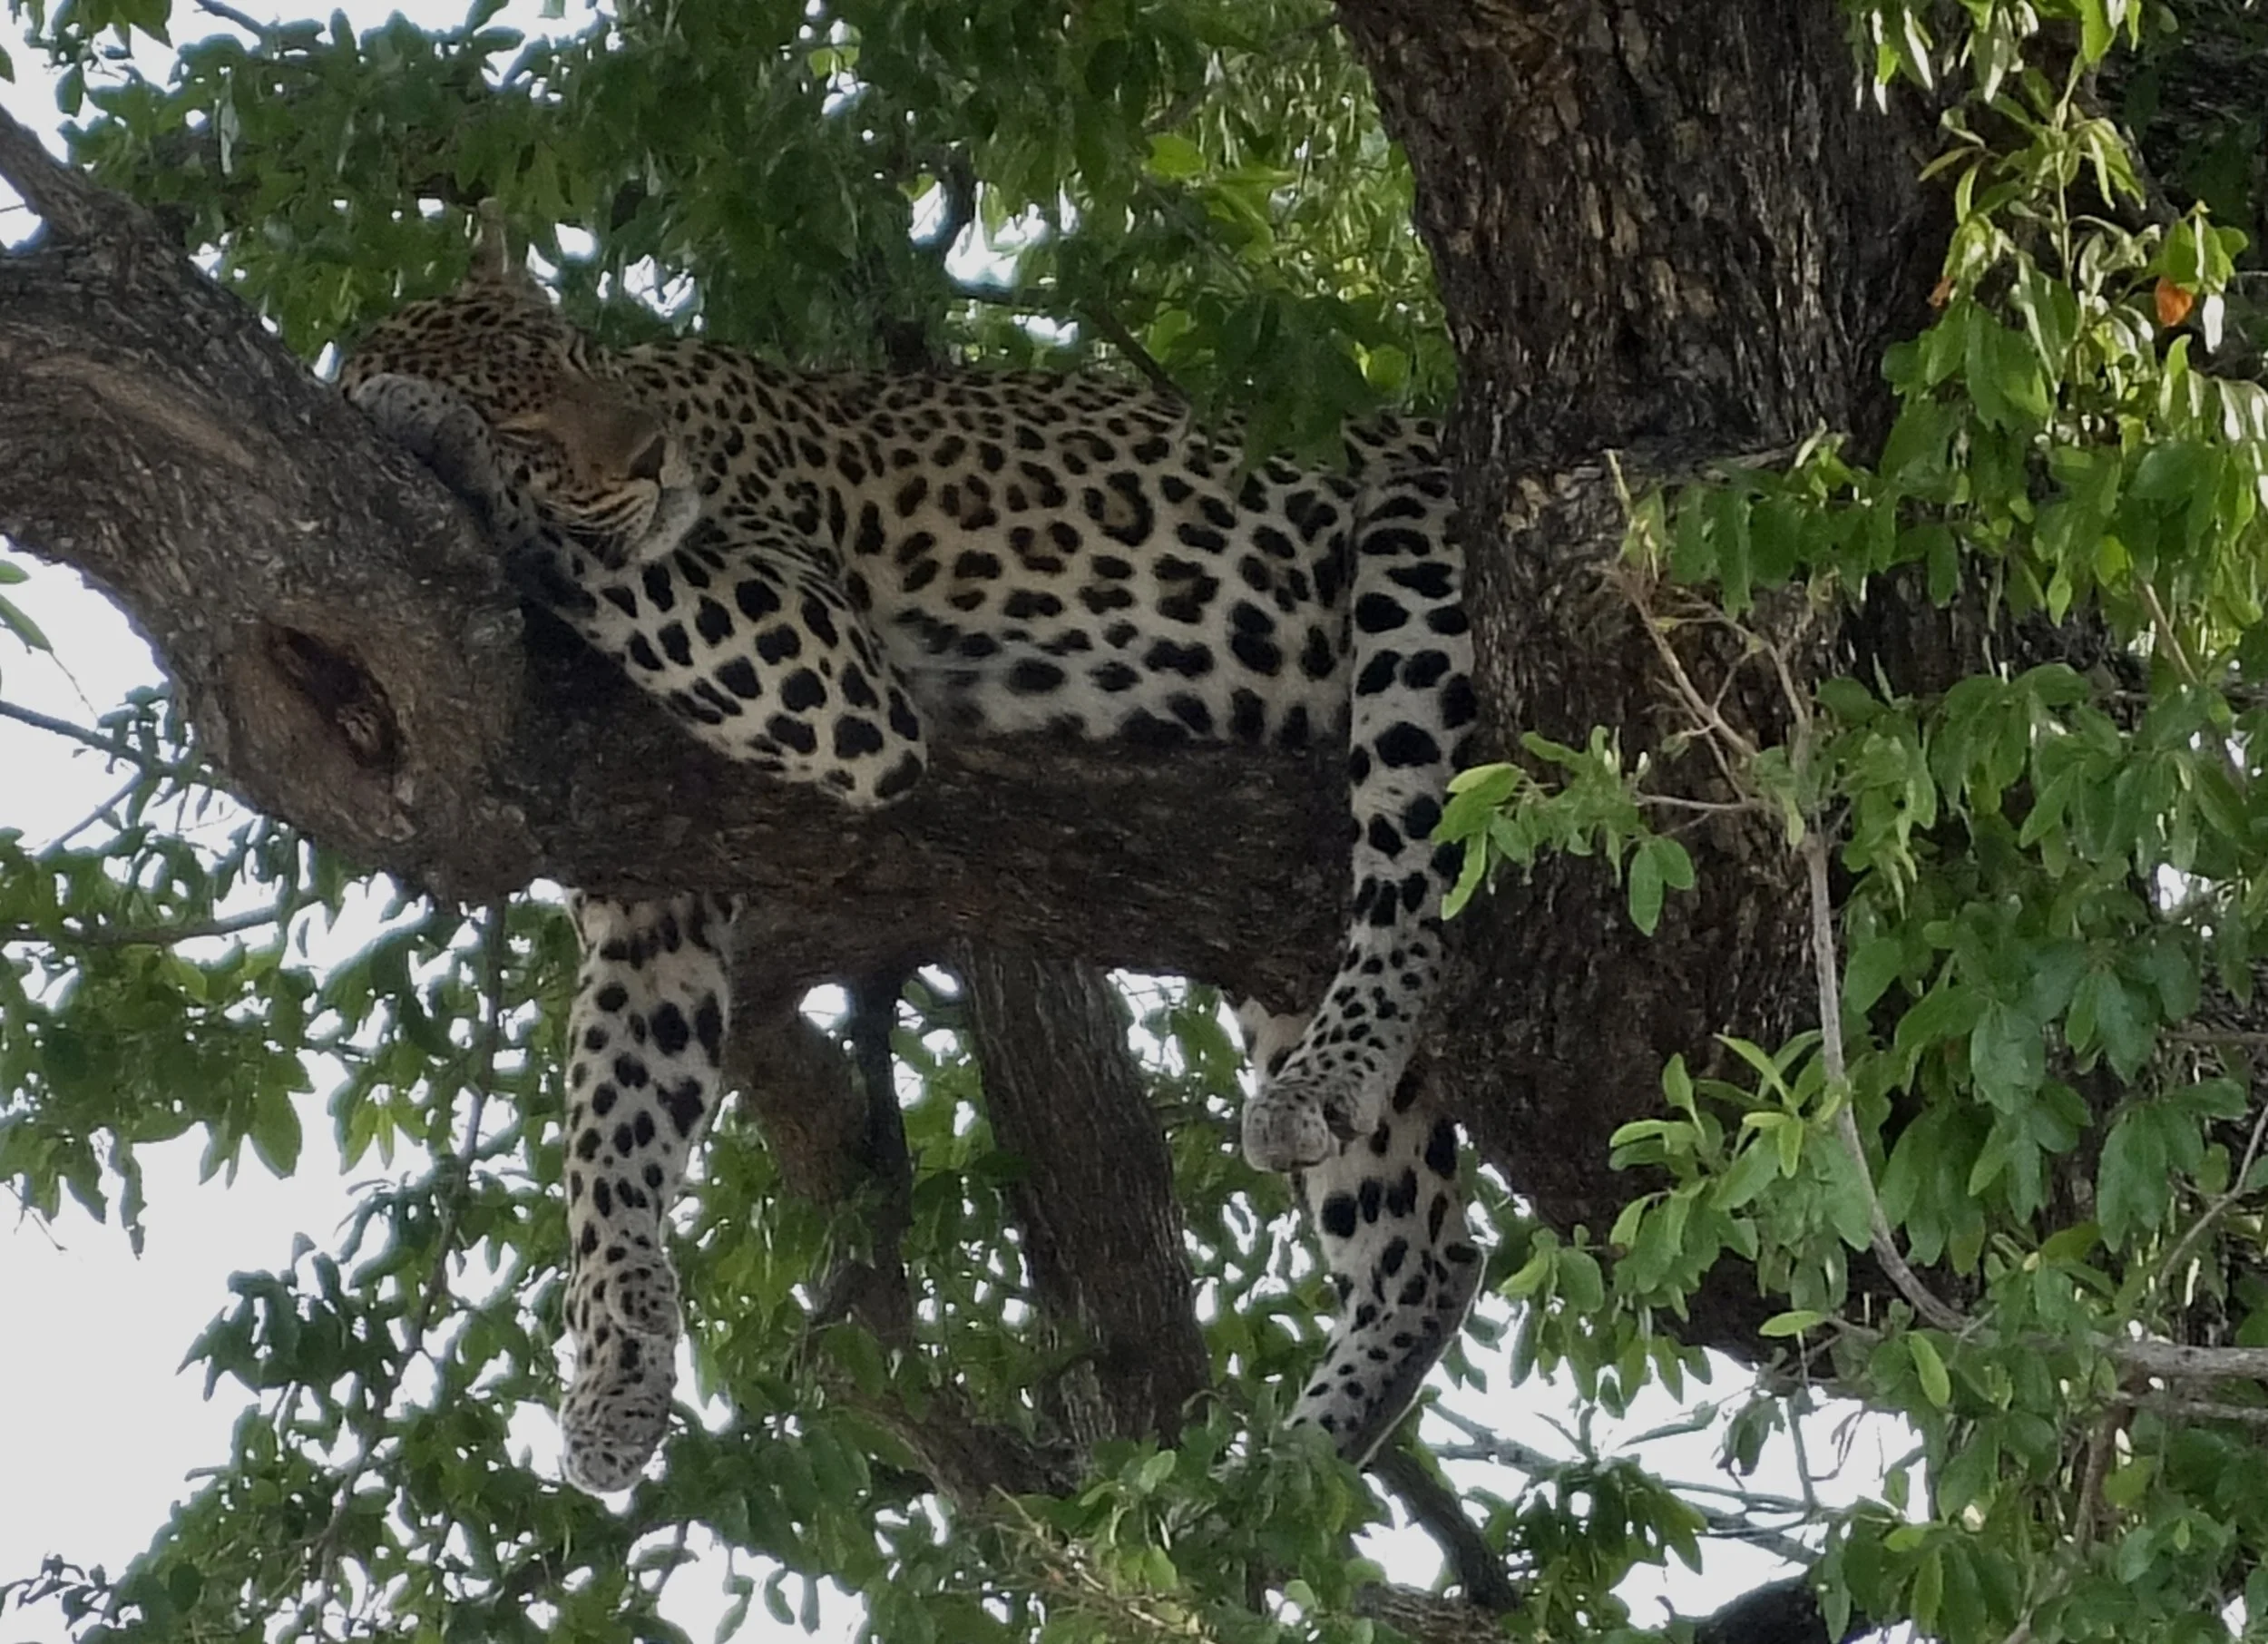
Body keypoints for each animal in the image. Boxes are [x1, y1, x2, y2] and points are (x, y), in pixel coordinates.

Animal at [341, 224, 1484, 1493]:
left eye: (588, 360)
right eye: (533, 430)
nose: (651, 459)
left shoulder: (819, 662)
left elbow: (613, 560)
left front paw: (421, 425)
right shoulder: (651, 902)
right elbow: (610, 1133)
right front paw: (615, 1381)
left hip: (1417, 542)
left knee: (1413, 880)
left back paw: (1326, 1085)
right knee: (1429, 1249)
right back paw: (1274, 1478)